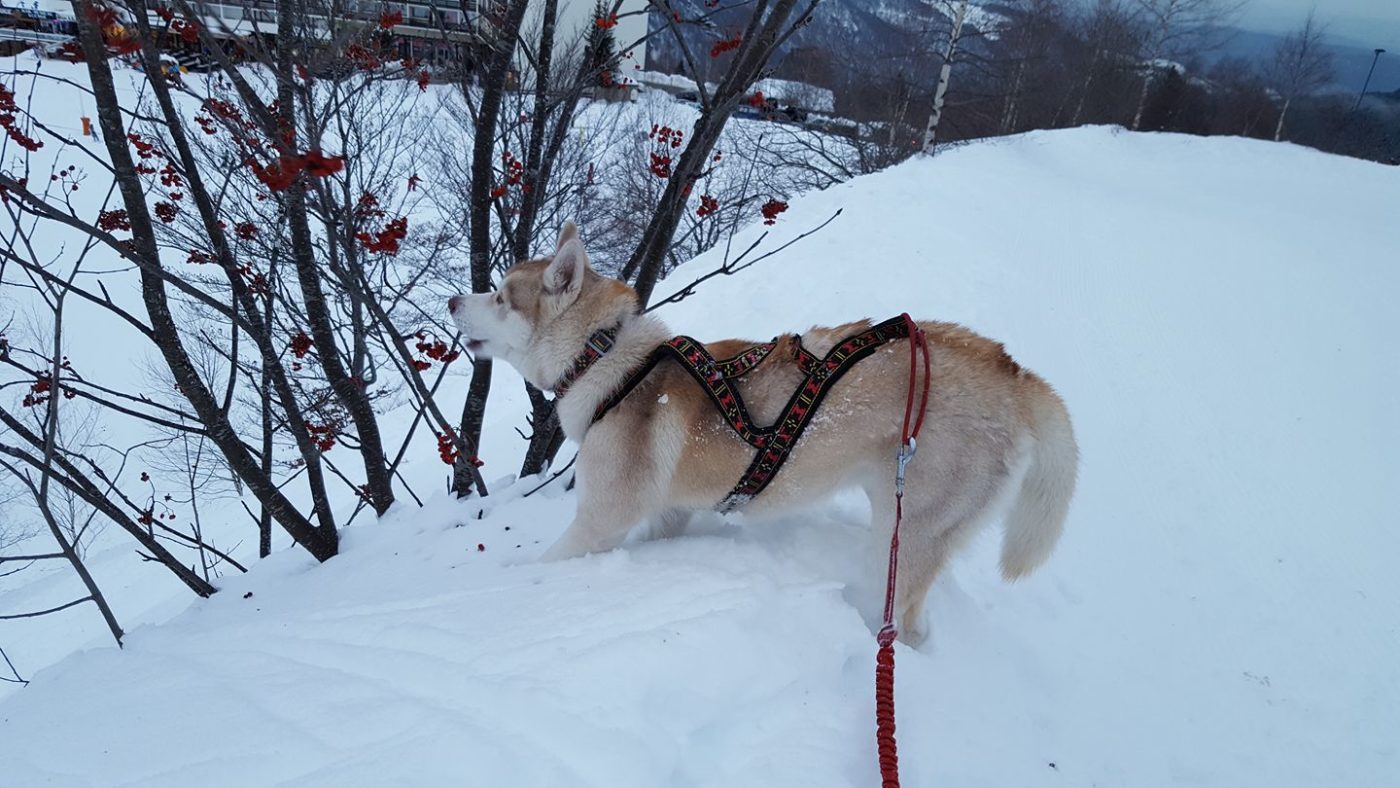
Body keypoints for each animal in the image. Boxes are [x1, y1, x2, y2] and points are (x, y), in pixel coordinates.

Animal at [453, 223, 1075, 646]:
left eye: (502, 296)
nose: (455, 299)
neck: (606, 362)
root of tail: (1014, 374)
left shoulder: (599, 523)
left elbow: (545, 563)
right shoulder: (669, 513)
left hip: (907, 533)